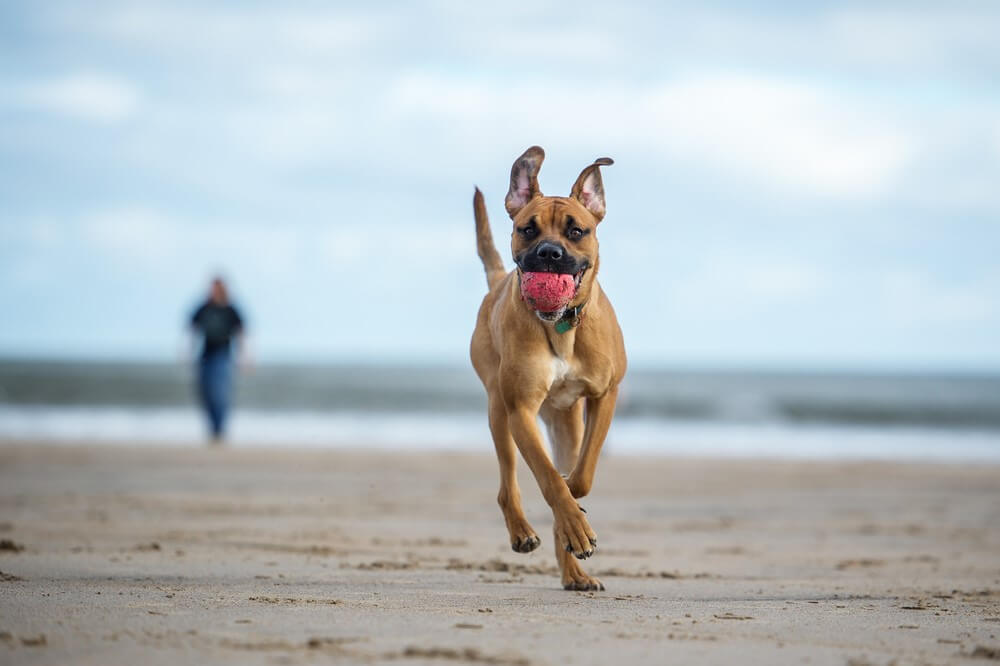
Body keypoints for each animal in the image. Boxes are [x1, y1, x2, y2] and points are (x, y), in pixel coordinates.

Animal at [468, 147, 624, 592]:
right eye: (527, 229)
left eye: (576, 231)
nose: (549, 253)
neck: (561, 326)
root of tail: (497, 282)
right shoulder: (520, 410)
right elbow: (549, 478)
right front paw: (569, 511)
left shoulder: (605, 395)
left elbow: (582, 474)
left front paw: (574, 503)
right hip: (498, 410)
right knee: (508, 485)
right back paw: (525, 531)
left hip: (564, 421)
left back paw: (574, 570)